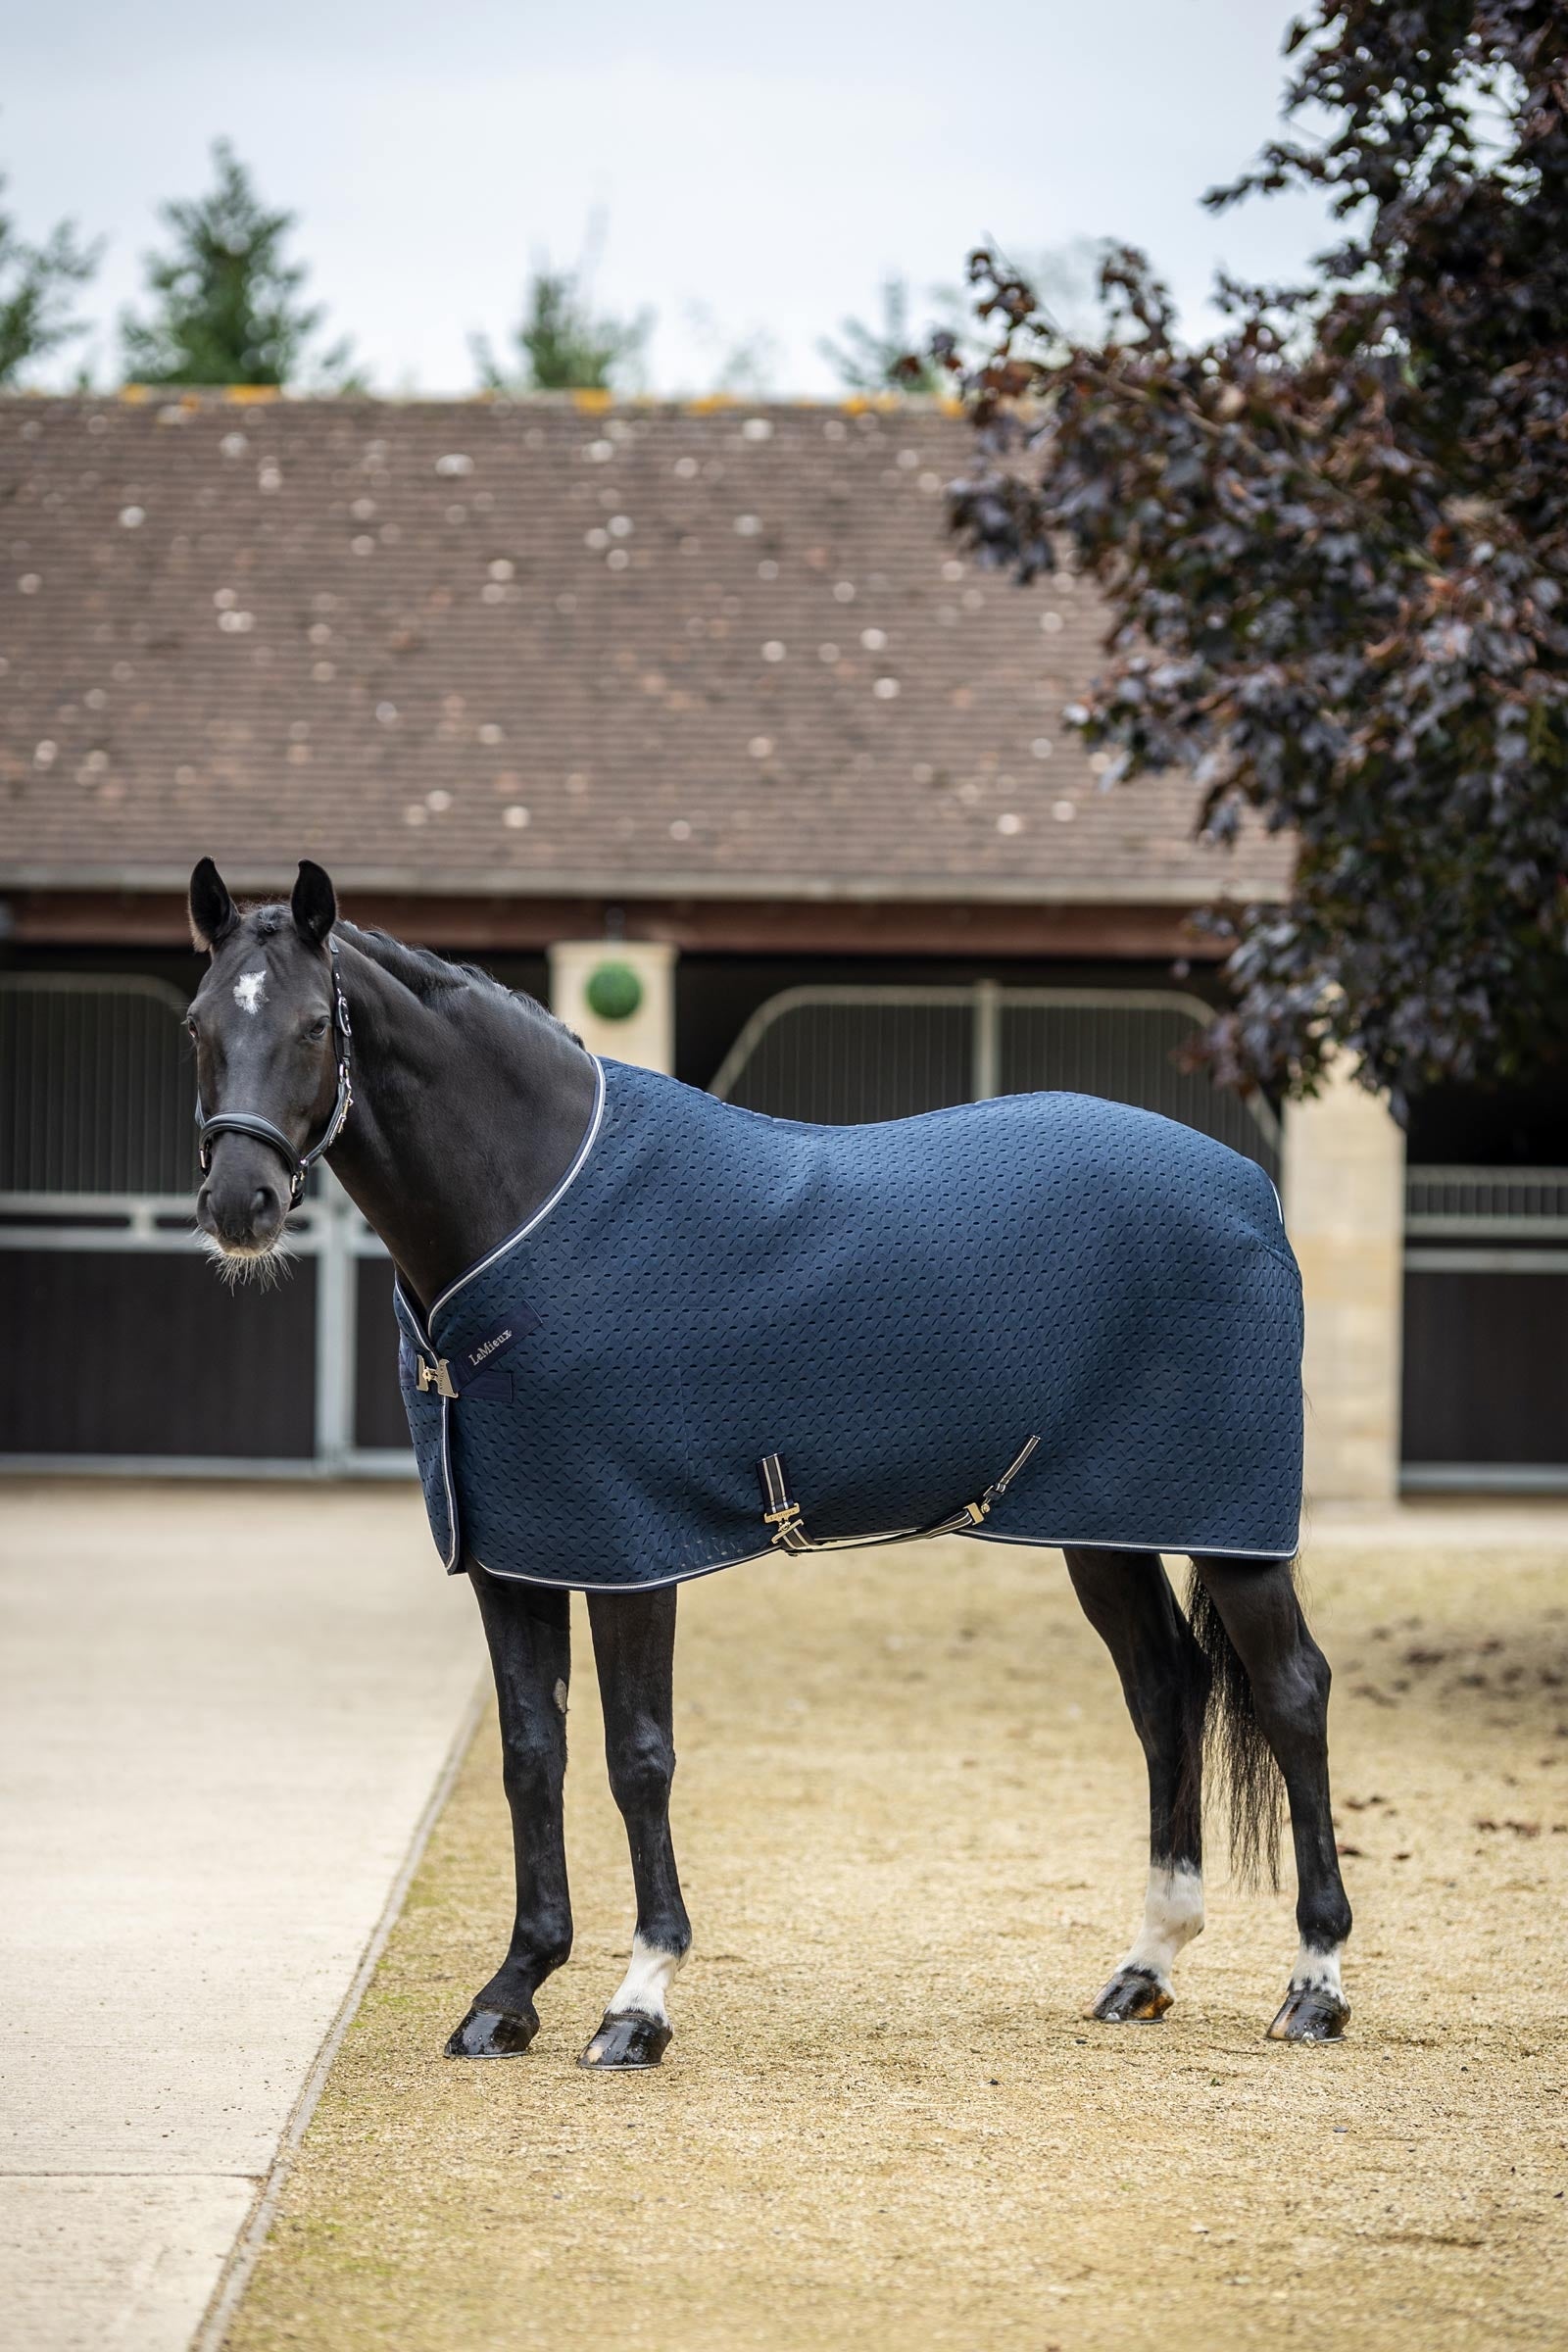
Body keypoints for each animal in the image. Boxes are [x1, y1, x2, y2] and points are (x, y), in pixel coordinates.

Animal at [186, 855, 1353, 2068]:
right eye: (197, 1025)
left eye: (314, 1024)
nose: (238, 1206)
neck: (530, 1211)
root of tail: (1249, 1191)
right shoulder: (514, 1560)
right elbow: (529, 1755)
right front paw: (509, 1995)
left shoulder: (628, 1554)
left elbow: (637, 1757)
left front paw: (637, 2004)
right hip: (1104, 1529)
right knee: (1164, 1693)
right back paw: (1145, 1965)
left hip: (1233, 1536)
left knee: (1291, 1694)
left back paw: (1313, 1986)